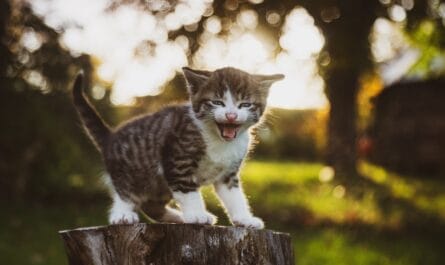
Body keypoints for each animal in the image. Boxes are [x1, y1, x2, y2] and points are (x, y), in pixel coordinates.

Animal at [71, 67, 282, 228]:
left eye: (245, 104)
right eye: (217, 102)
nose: (231, 115)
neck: (219, 141)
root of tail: (111, 137)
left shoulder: (228, 173)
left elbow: (235, 196)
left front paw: (244, 219)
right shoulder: (177, 159)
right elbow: (188, 190)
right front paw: (196, 214)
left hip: (158, 185)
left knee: (152, 206)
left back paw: (177, 217)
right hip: (131, 170)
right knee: (125, 191)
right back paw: (122, 214)